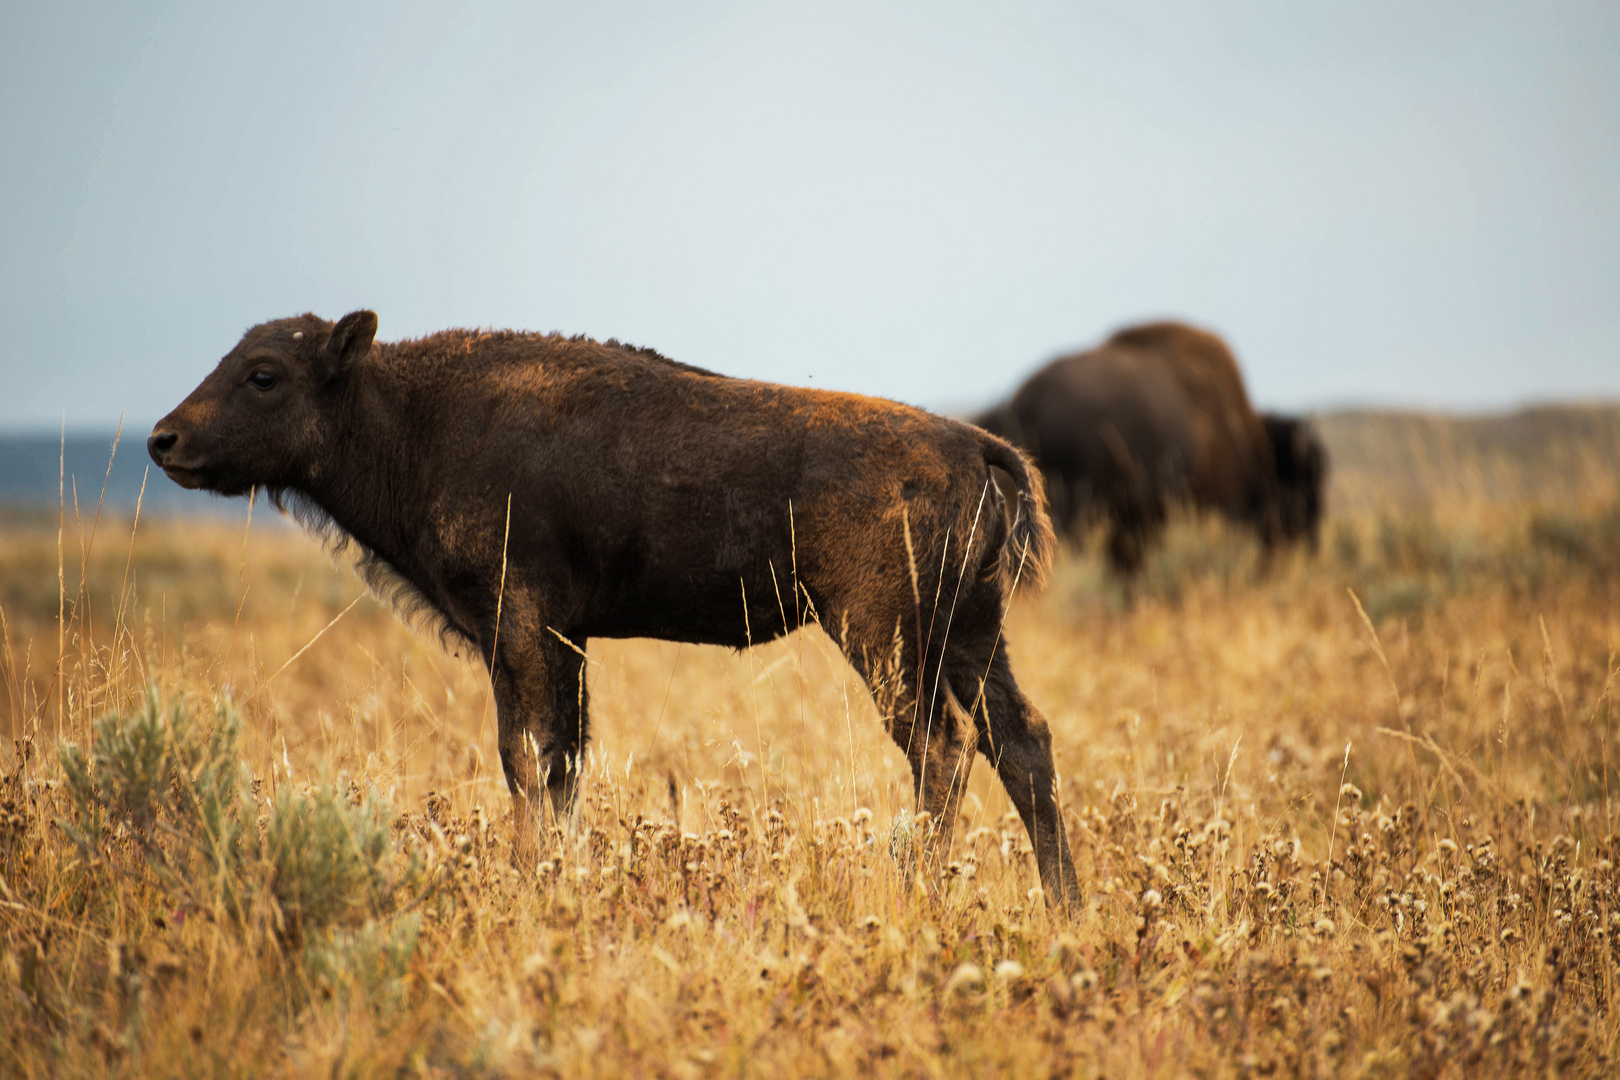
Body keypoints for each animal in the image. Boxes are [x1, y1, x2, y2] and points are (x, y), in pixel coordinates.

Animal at [152, 314, 1082, 913]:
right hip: (970, 636)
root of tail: (973, 445)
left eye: (264, 374)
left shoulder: (524, 625)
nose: (164, 439)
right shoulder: (545, 642)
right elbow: (554, 760)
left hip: (882, 635)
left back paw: (914, 896)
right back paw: (1064, 910)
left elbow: (532, 758)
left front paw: (533, 884)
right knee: (1019, 742)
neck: (409, 414)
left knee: (942, 748)